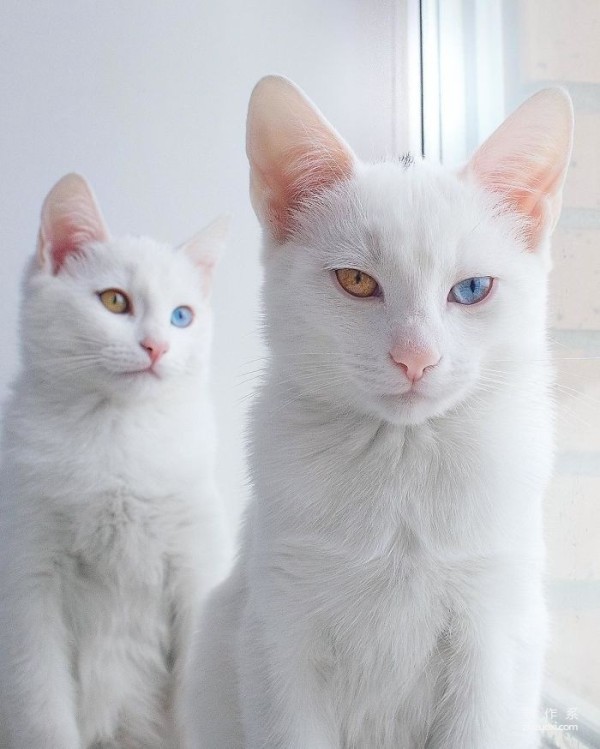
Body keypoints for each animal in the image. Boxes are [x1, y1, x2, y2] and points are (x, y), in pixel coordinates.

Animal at [0, 172, 232, 744]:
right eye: (113, 300)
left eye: (182, 316)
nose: (156, 347)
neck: (117, 437)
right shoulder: (27, 586)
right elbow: (43, 712)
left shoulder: (195, 568)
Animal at [190, 77, 576, 748]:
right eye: (355, 280)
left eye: (472, 289)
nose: (415, 357)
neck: (402, 461)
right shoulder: (279, 640)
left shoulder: (494, 640)